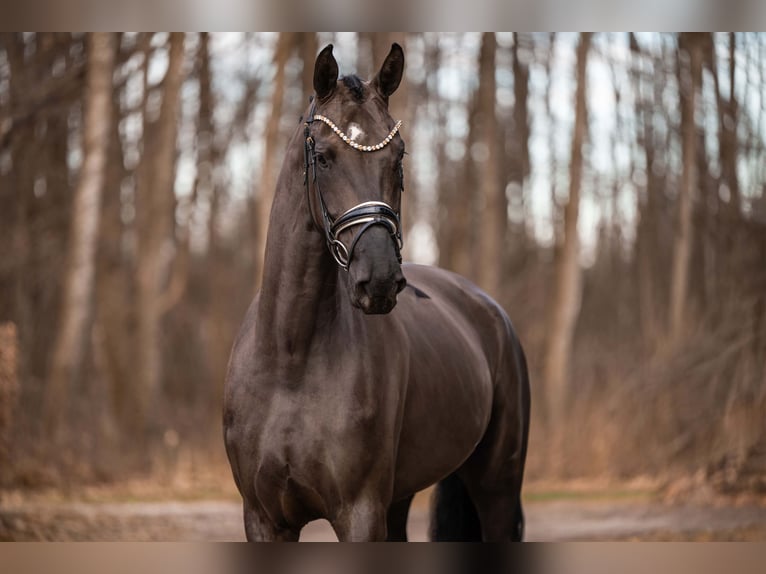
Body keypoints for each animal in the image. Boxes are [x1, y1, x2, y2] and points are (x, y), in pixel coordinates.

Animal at [223, 43, 530, 541]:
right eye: (324, 157)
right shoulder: (264, 518)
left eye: (399, 157)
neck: (290, 358)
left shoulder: (361, 513)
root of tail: (489, 310)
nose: (380, 279)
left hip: (497, 487)